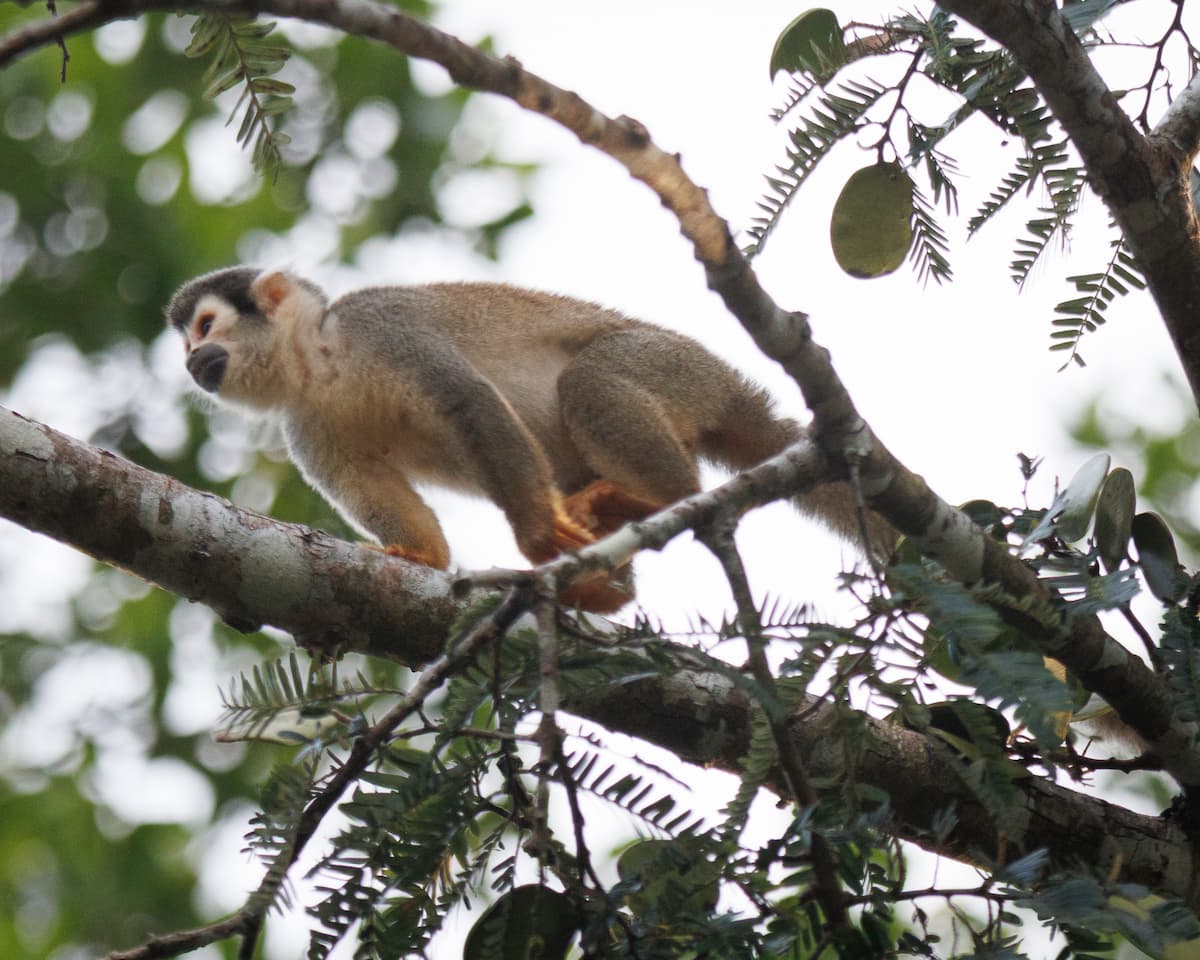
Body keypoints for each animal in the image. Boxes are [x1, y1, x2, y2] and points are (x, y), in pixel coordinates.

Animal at [166, 267, 891, 612]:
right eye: (188, 341)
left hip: (677, 366)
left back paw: (664, 501)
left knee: (591, 381)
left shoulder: (384, 325)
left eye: (205, 327)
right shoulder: (306, 423)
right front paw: (423, 555)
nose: (191, 361)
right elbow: (367, 484)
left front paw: (538, 539)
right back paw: (610, 585)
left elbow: (472, 401)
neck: (323, 364)